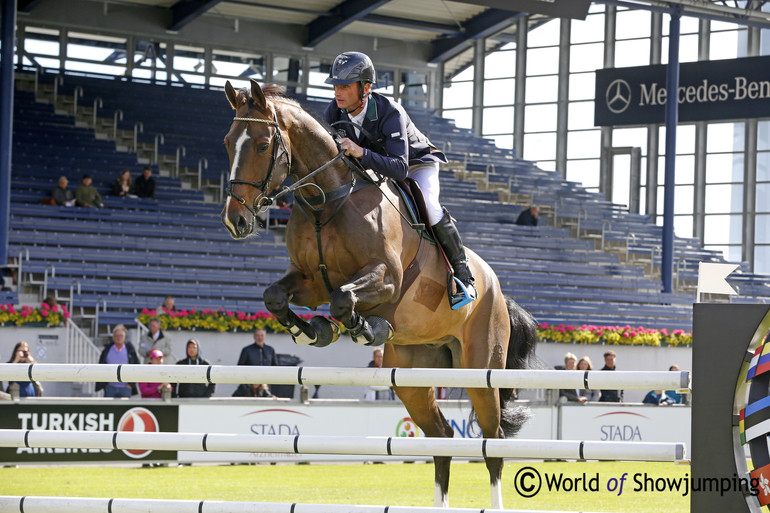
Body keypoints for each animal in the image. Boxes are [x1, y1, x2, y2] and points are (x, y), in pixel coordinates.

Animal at [219, 80, 536, 508]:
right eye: (227, 142)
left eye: (263, 144)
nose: (235, 221)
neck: (327, 200)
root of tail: (497, 288)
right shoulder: (309, 280)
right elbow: (276, 297)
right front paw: (313, 331)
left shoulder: (386, 277)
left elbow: (343, 299)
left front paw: (363, 328)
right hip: (413, 376)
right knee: (442, 437)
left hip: (480, 368)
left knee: (493, 441)